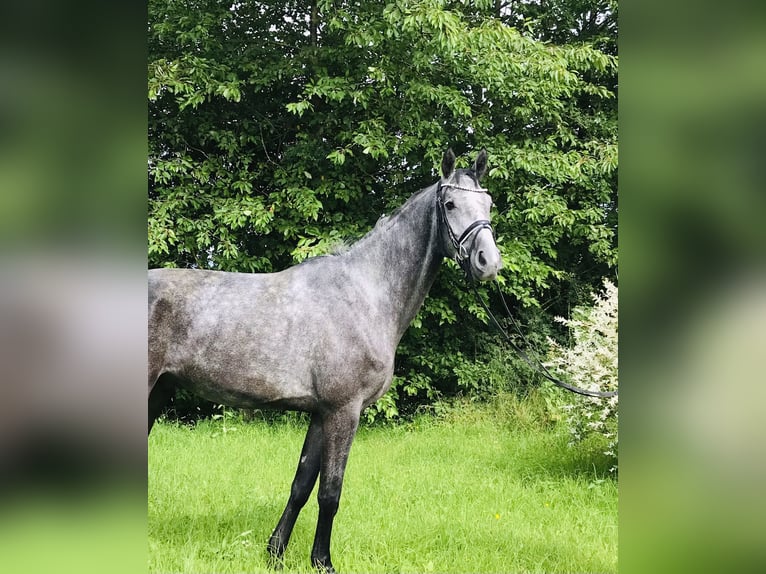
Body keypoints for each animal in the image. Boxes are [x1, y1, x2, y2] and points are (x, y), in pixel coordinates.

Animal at [148, 147, 504, 572]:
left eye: (488, 203)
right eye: (450, 204)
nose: (488, 262)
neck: (366, 293)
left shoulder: (320, 413)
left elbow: (301, 485)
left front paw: (275, 553)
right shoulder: (343, 411)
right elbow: (330, 492)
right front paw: (322, 561)